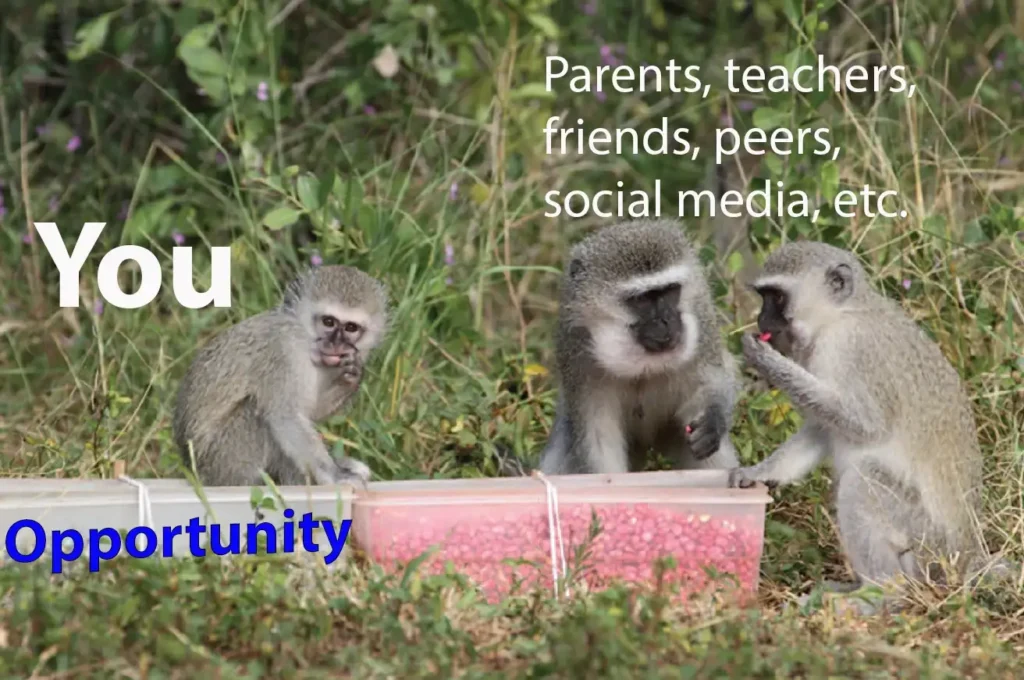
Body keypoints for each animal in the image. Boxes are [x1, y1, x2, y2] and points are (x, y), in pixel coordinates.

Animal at [172, 262, 387, 485]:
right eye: (328, 322)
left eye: (351, 327)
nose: (336, 344)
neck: (304, 339)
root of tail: (195, 471)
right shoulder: (281, 352)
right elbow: (285, 416)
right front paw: (335, 475)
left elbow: (311, 412)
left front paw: (352, 377)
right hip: (222, 460)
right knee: (257, 410)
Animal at [540, 220, 741, 475]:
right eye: (641, 300)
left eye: (670, 291)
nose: (666, 322)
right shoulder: (575, 345)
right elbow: (598, 440)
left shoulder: (702, 316)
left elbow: (714, 378)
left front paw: (713, 419)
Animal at [729, 240, 1007, 602]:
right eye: (764, 297)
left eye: (776, 298)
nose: (761, 318)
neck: (841, 315)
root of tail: (967, 558)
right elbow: (823, 429)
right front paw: (758, 473)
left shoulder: (849, 348)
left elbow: (866, 425)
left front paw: (766, 361)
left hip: (927, 547)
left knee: (863, 481)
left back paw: (881, 595)